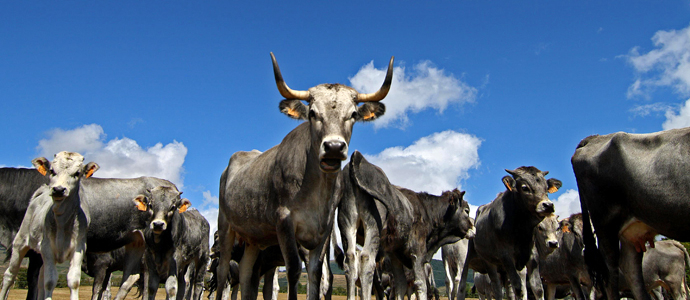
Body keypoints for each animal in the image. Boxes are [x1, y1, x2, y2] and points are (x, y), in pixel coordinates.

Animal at [0, 151, 99, 300]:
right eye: (52, 171)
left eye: (77, 173)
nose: (58, 189)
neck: (62, 222)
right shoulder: (47, 247)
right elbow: (50, 281)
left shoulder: (79, 248)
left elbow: (73, 281)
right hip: (20, 243)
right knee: (9, 275)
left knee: (40, 278)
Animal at [215, 52, 392, 300]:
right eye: (312, 113)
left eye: (353, 114)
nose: (334, 147)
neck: (316, 190)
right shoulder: (284, 222)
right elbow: (294, 270)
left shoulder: (324, 228)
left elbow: (316, 273)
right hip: (225, 226)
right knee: (223, 272)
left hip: (252, 237)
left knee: (246, 273)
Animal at [456, 168, 560, 300]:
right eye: (524, 187)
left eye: (547, 187)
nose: (548, 205)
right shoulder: (507, 257)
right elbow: (519, 288)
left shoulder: (532, 258)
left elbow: (538, 289)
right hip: (479, 259)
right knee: (471, 285)